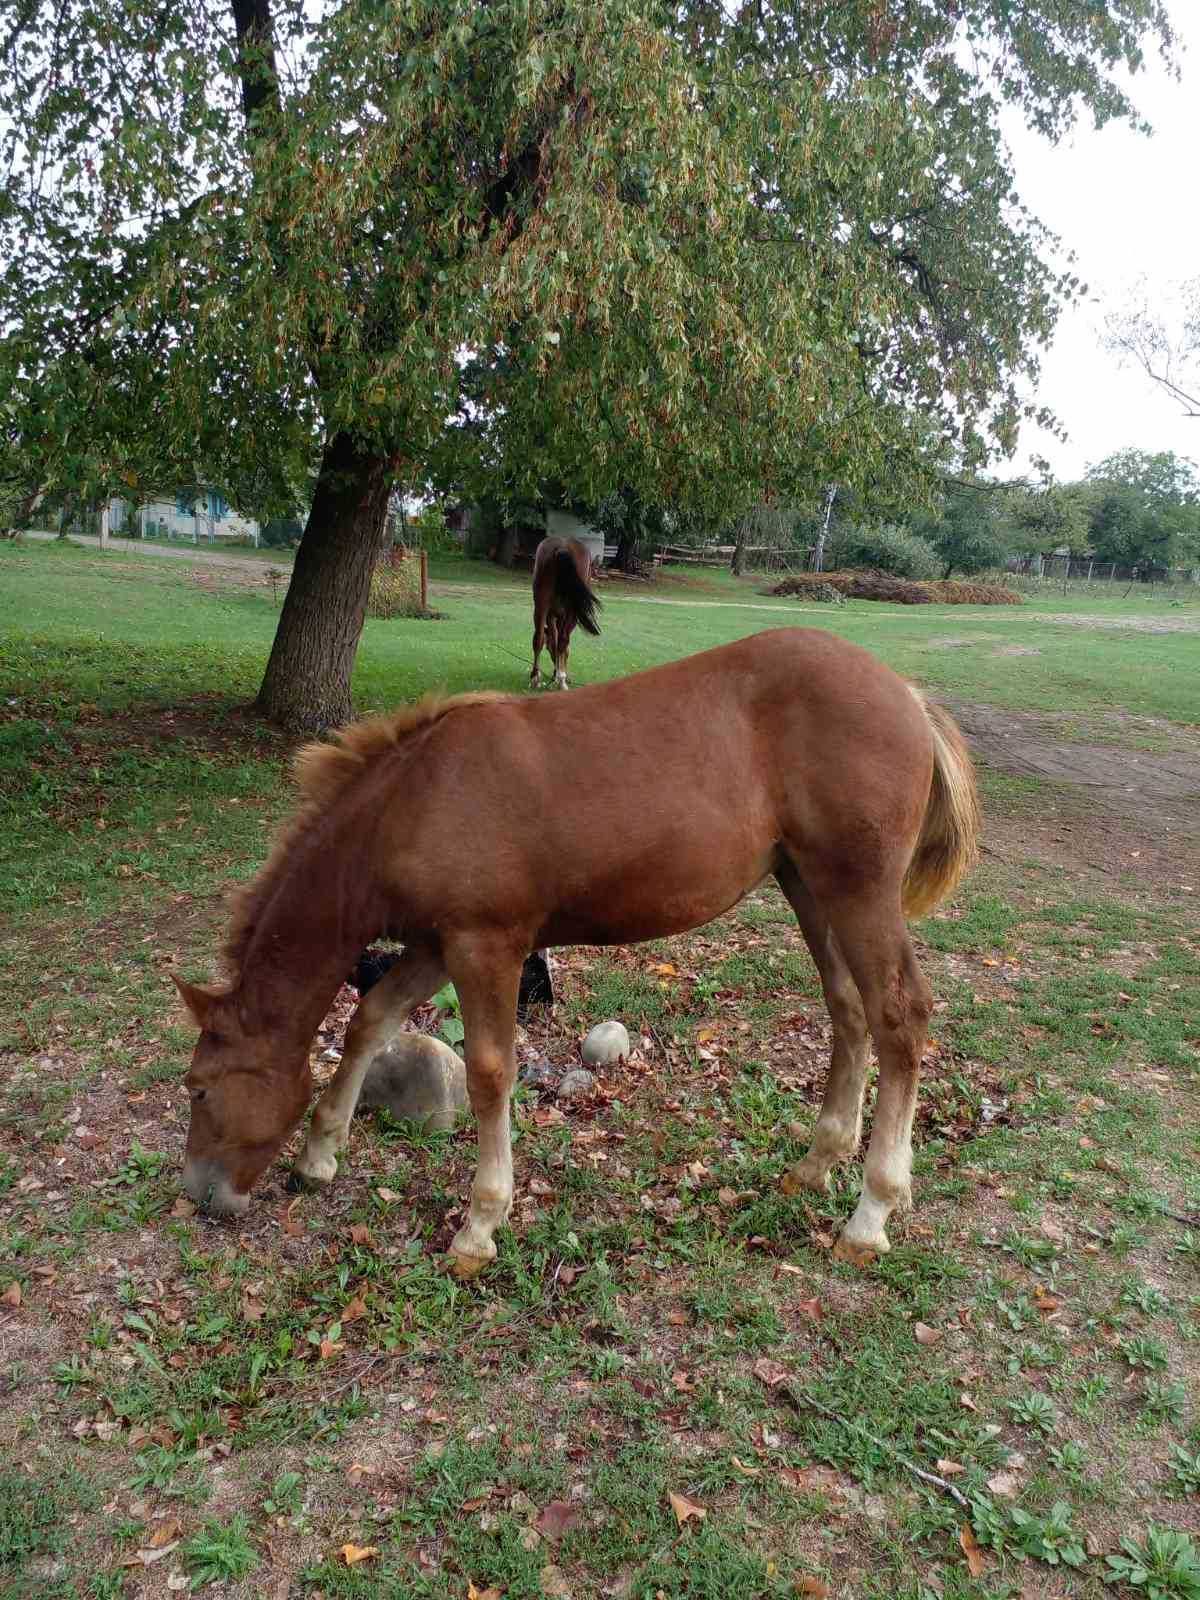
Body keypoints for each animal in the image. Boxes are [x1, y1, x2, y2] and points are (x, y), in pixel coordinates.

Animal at [180, 624, 985, 1273]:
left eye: (199, 1088)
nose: (200, 1196)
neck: (412, 801)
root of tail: (907, 695)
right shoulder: (438, 945)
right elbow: (370, 1019)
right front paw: (319, 1156)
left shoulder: (486, 946)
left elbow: (489, 1074)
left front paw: (480, 1225)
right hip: (808, 886)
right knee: (849, 1010)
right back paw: (815, 1165)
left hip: (858, 891)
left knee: (899, 1017)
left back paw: (870, 1214)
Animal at [531, 537, 601, 688]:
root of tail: (562, 547)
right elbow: (562, 645)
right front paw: (559, 675)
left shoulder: (551, 616)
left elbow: (554, 641)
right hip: (570, 612)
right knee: (563, 640)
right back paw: (562, 680)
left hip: (540, 604)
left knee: (538, 638)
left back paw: (535, 678)